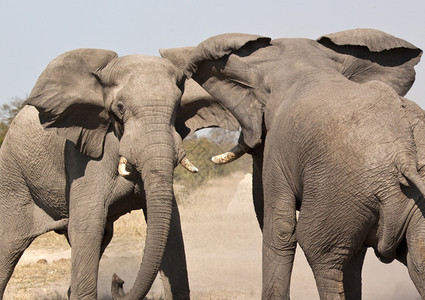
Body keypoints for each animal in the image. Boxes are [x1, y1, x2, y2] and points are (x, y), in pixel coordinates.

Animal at [0, 48, 237, 298]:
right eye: (120, 107)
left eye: (177, 108)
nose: (119, 280)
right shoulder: (83, 156)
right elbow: (88, 226)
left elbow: (171, 229)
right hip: (13, 176)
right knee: (8, 244)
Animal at [160, 28, 425, 300]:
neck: (310, 67)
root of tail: (402, 154)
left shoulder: (278, 147)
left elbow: (280, 228)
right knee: (415, 260)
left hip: (339, 191)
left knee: (320, 252)